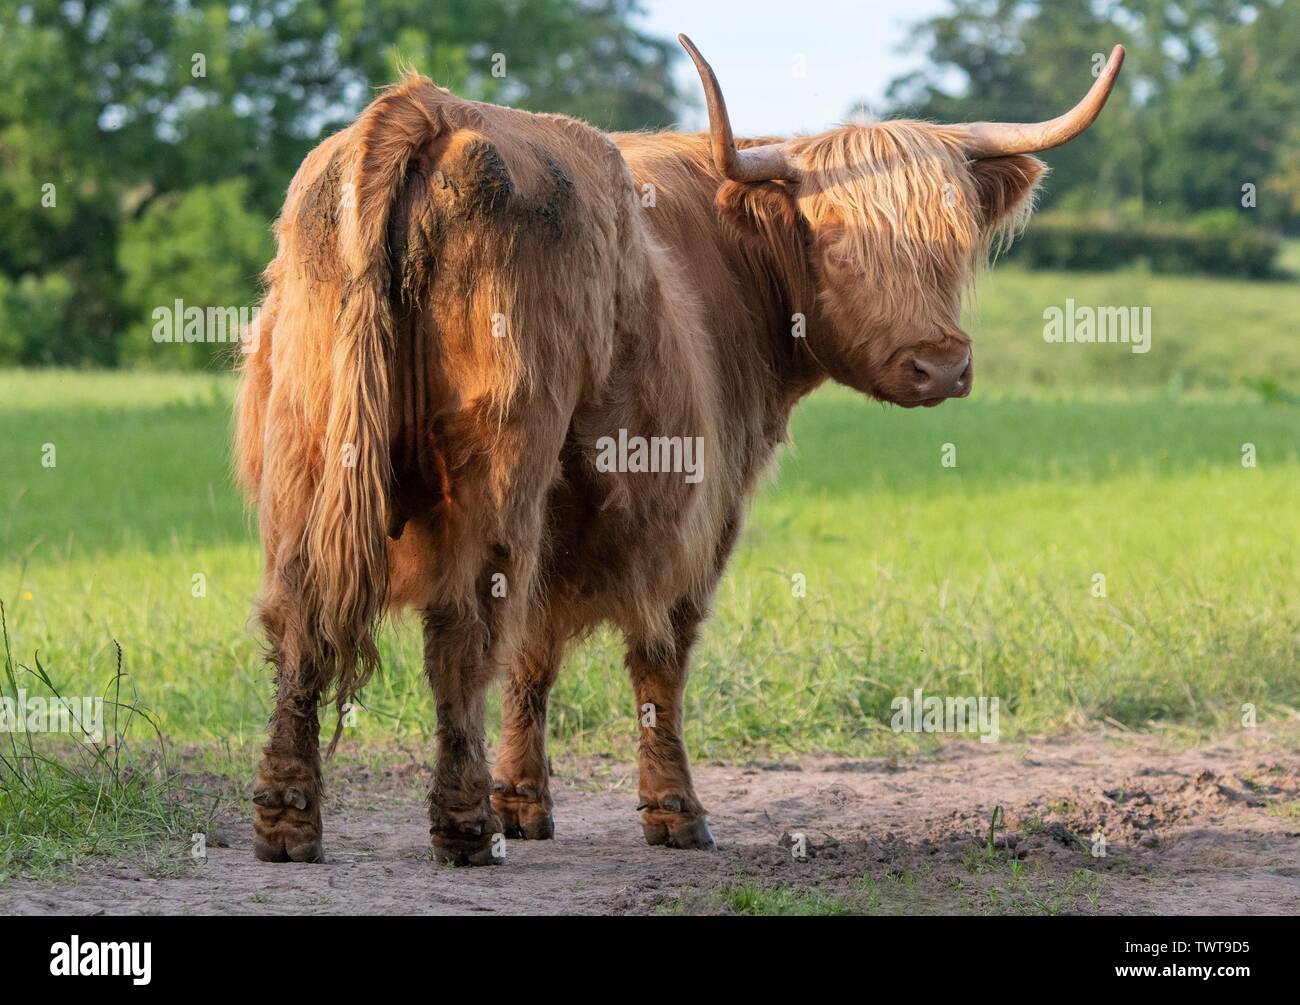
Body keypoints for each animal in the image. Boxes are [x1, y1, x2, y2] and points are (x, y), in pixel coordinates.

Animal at [235, 35, 1124, 865]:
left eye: (955, 241)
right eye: (837, 241)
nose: (939, 364)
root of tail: (429, 108)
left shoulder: (565, 512)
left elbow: (533, 653)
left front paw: (525, 801)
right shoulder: (697, 507)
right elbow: (658, 655)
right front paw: (673, 811)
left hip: (306, 455)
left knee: (300, 621)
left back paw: (287, 820)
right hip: (494, 462)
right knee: (458, 628)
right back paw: (461, 826)